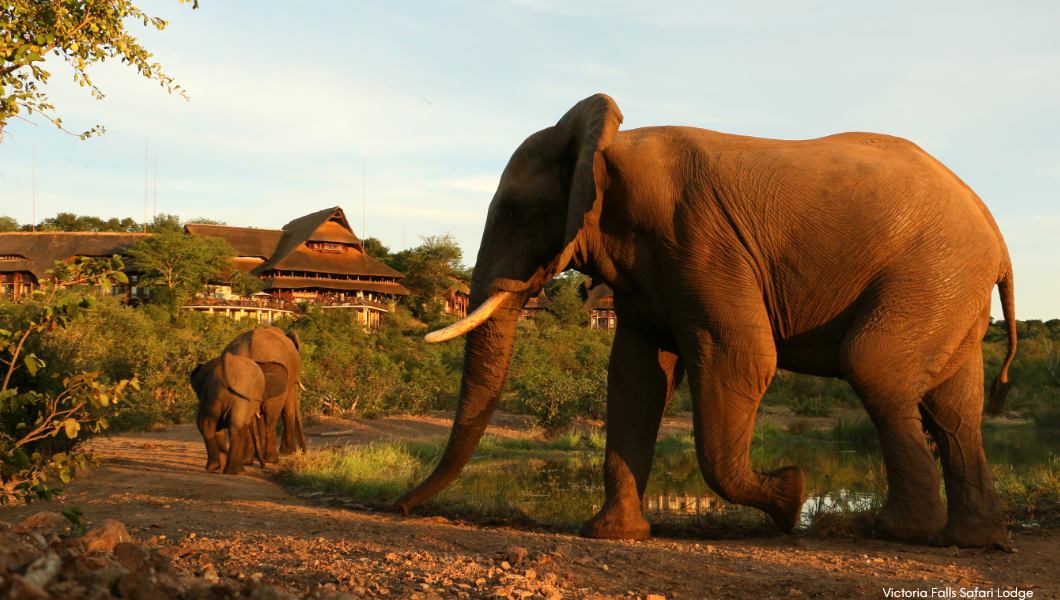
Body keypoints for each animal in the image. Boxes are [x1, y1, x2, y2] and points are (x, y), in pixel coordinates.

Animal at [222, 326, 307, 464]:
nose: (303, 452)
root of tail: (249, 352)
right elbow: (288, 409)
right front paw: (289, 453)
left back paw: (247, 460)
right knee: (272, 414)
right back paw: (272, 460)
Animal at [396, 94, 1017, 551]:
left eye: (514, 210)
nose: (399, 507)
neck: (607, 147)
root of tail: (996, 235)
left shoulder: (698, 238)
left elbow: (741, 356)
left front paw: (791, 497)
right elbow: (635, 378)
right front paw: (612, 535)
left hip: (932, 272)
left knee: (875, 368)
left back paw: (892, 531)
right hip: (948, 289)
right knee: (953, 407)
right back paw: (971, 541)